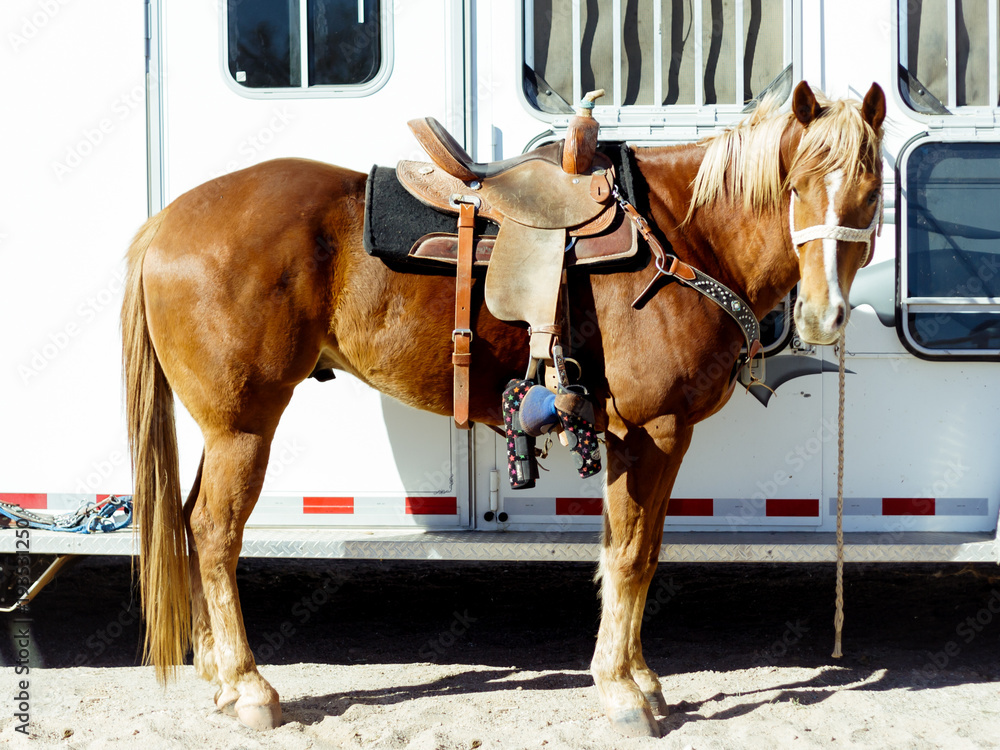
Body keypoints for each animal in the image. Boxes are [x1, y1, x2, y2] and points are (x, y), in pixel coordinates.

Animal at [121, 81, 885, 737]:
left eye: (872, 190)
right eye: (797, 183)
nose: (822, 317)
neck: (681, 239)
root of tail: (165, 223)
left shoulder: (646, 438)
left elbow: (634, 551)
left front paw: (639, 677)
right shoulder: (652, 431)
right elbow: (632, 555)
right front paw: (622, 691)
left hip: (225, 428)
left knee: (189, 522)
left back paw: (217, 676)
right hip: (244, 426)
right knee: (215, 532)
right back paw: (249, 686)